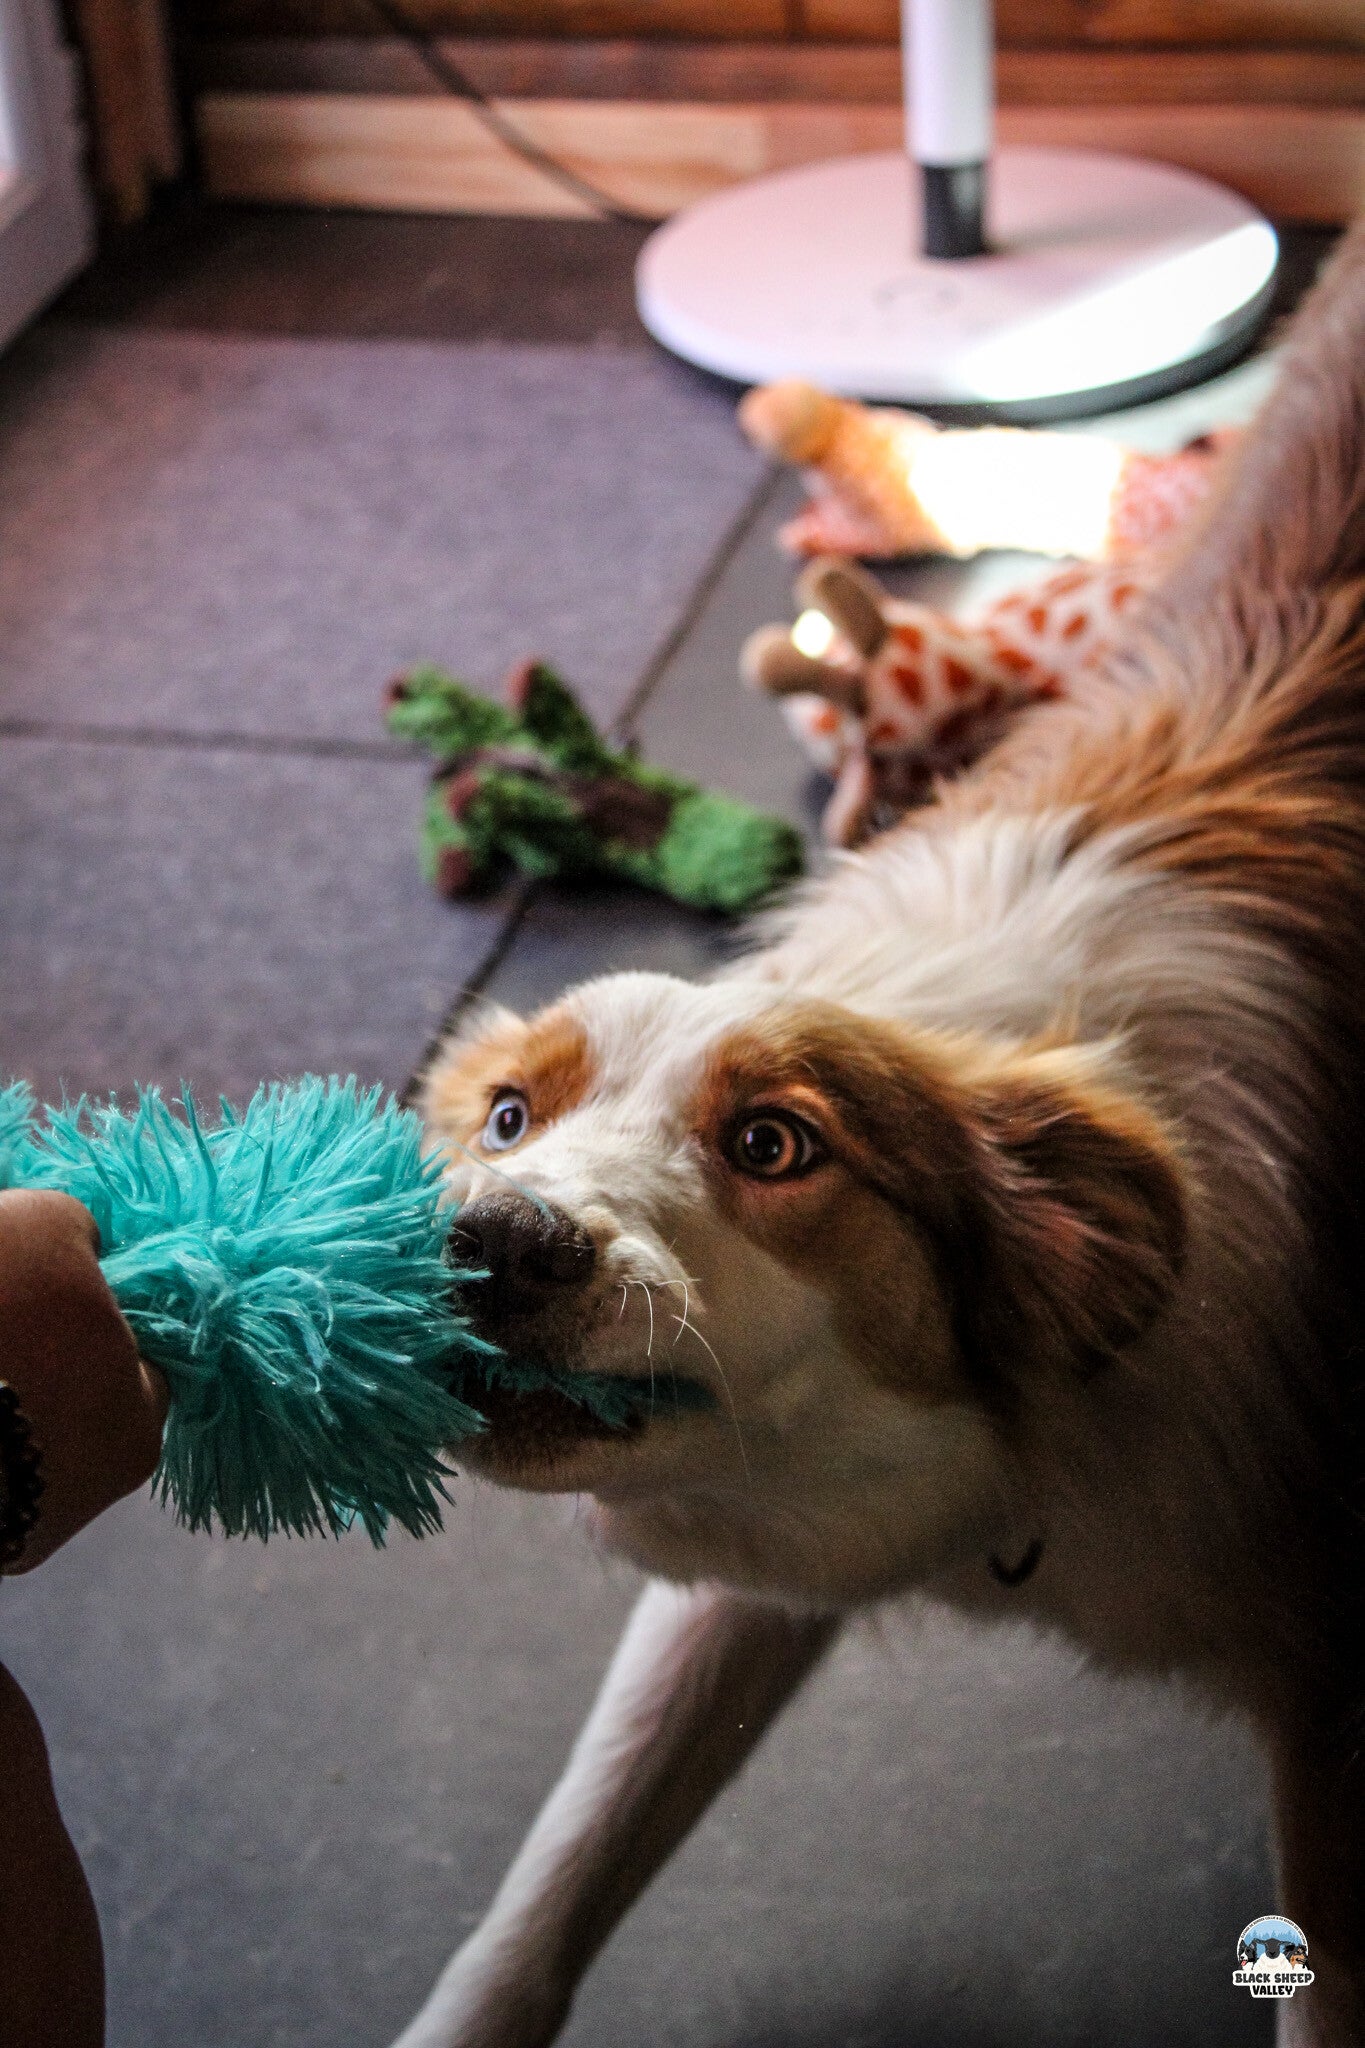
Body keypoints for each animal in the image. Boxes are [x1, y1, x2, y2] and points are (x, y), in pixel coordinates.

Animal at [394, 225, 1365, 2048]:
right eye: (507, 1115)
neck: (1026, 1450)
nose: (488, 1245)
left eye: (777, 1148)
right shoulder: (731, 1574)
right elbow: (559, 1866)